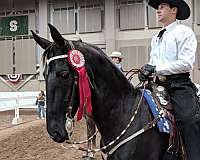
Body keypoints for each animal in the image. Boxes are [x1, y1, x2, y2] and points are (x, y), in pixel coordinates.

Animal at [31, 24, 169, 159]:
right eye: (44, 74)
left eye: (64, 74)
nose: (54, 132)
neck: (124, 114)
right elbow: (89, 134)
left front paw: (90, 153)